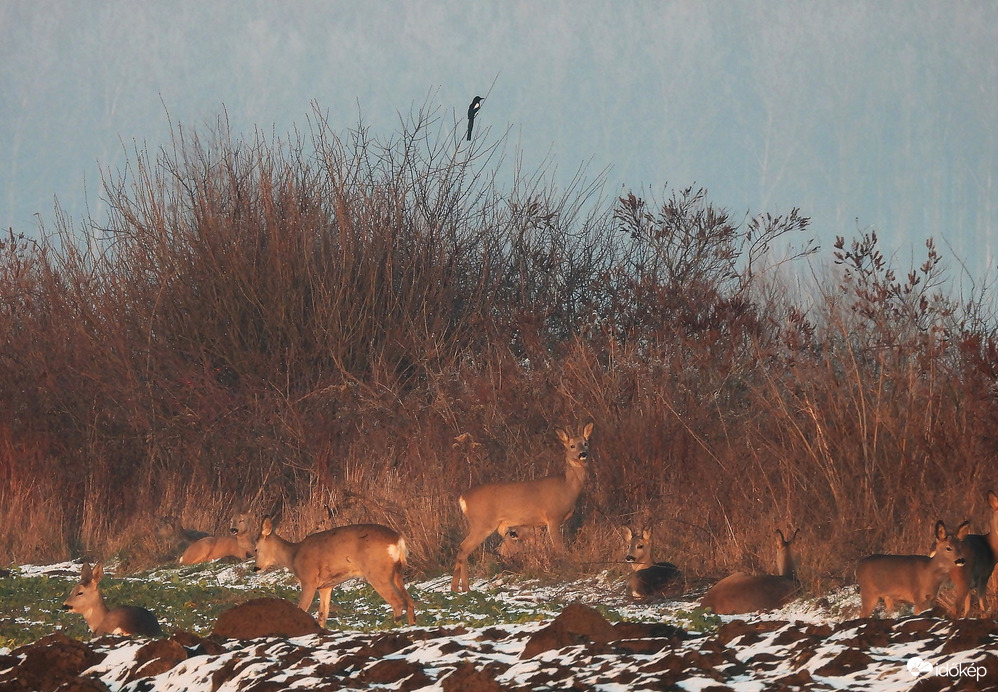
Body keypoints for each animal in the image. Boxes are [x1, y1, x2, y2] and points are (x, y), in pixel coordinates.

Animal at [258, 520, 418, 628]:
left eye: (256, 548)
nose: (255, 567)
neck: (293, 556)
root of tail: (398, 541)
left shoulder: (309, 580)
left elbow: (302, 608)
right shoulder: (325, 587)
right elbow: (322, 615)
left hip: (377, 572)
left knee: (398, 603)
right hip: (397, 573)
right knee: (409, 602)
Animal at [452, 422, 592, 596]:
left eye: (585, 443)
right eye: (571, 445)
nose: (583, 454)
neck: (567, 487)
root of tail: (462, 498)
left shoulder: (538, 525)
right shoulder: (553, 517)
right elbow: (559, 547)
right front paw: (567, 567)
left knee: (462, 548)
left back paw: (457, 588)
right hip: (482, 523)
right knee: (464, 548)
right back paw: (463, 587)